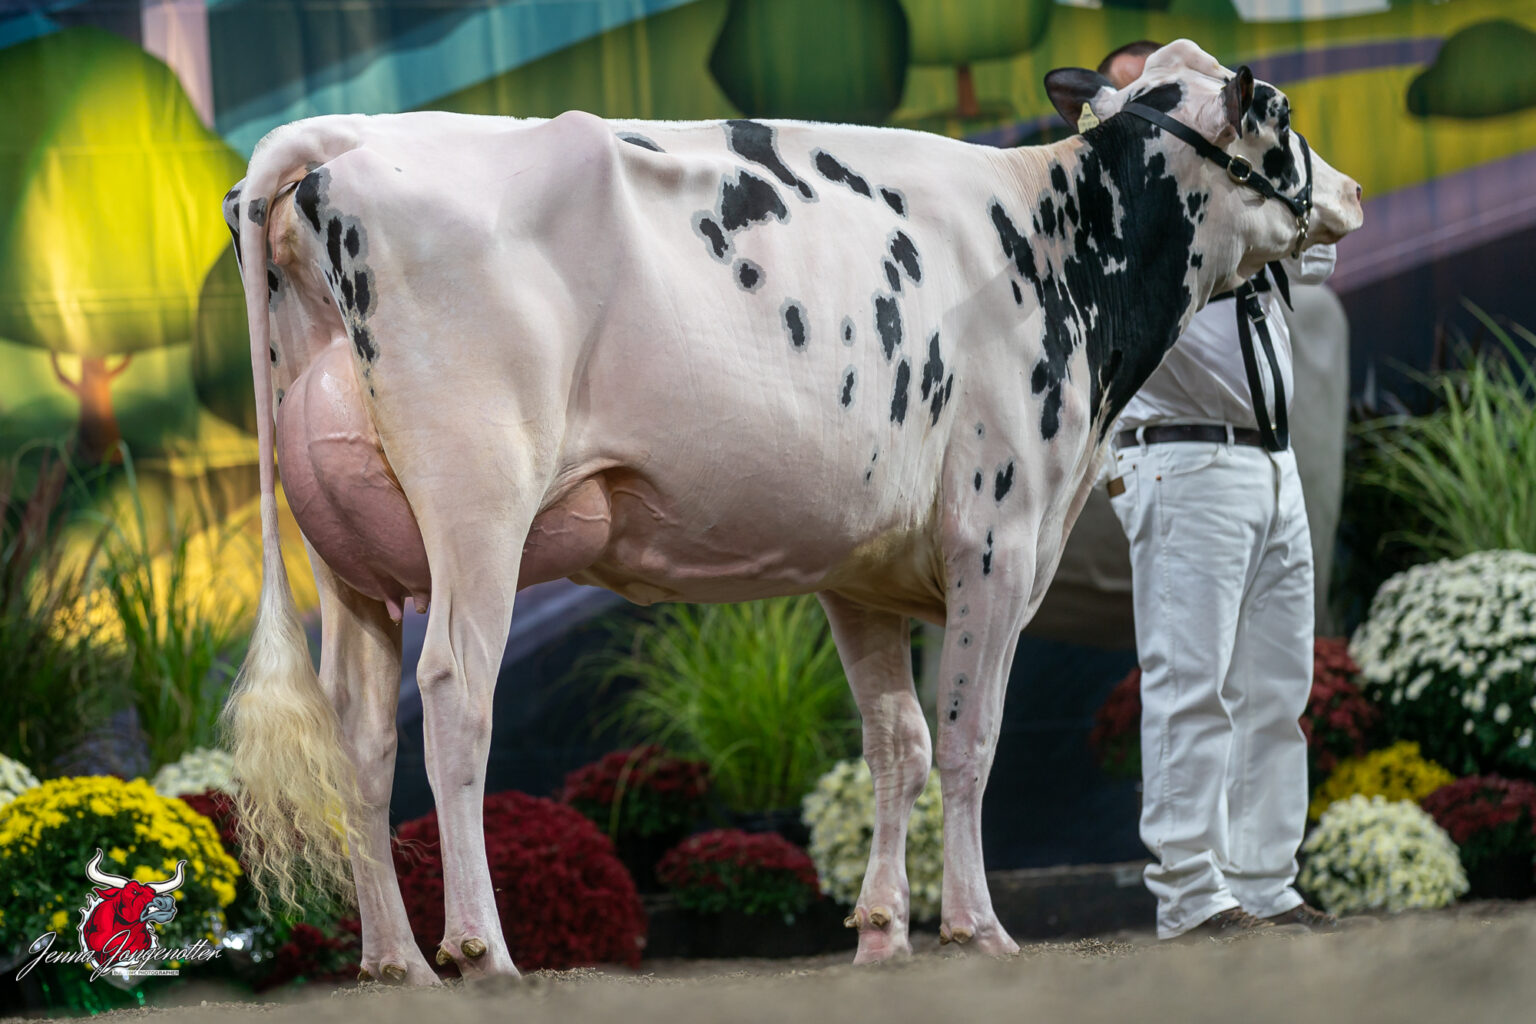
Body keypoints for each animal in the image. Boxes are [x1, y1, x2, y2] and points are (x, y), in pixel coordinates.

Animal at [220, 39, 1361, 983]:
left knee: (362, 734)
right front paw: (976, 927)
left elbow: (896, 742)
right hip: (477, 501)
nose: (1350, 190)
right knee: (458, 694)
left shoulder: (862, 571)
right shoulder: (997, 534)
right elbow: (970, 740)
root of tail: (341, 143)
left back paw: (395, 961)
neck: (1060, 245)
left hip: (349, 557)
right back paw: (481, 949)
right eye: (1282, 113)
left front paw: (884, 932)